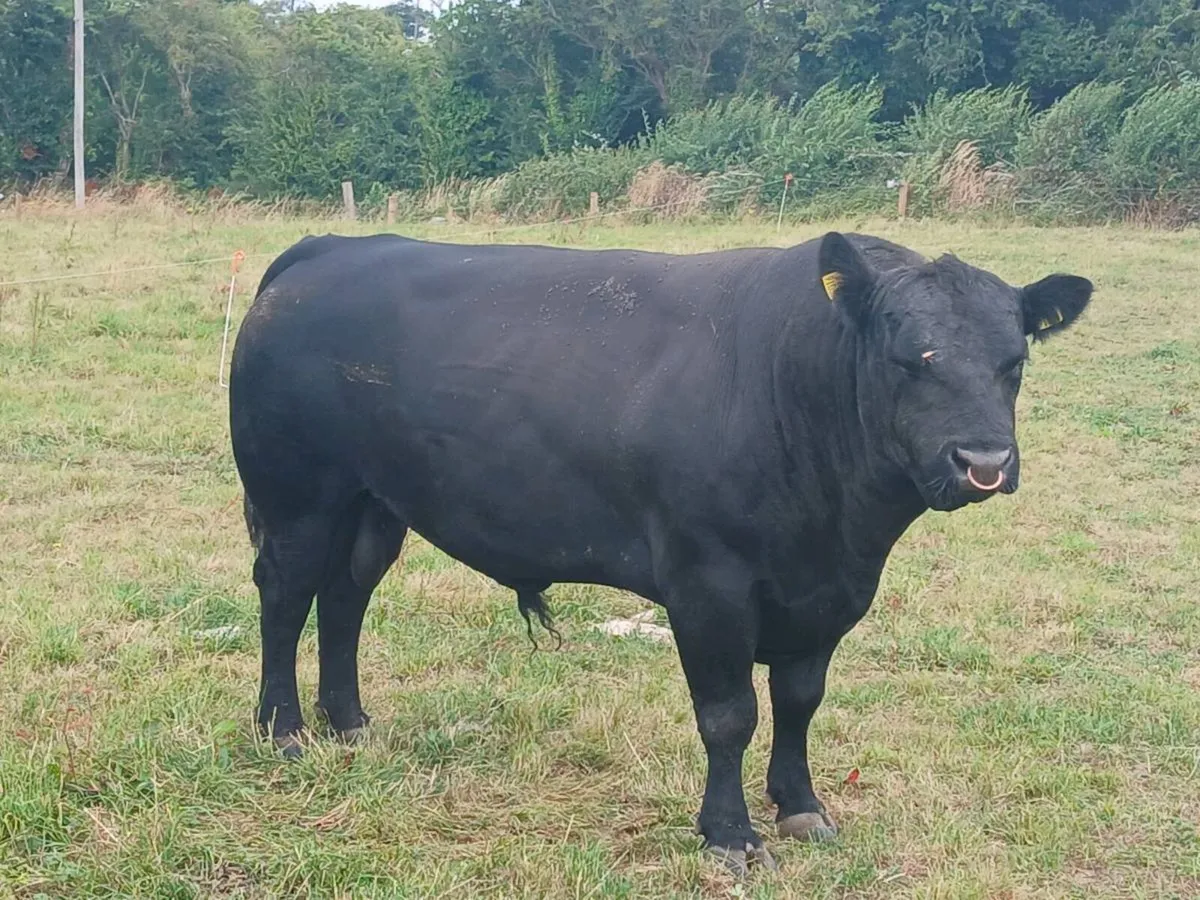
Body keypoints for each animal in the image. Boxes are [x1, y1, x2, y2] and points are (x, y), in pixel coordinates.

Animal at [228, 230, 1092, 875]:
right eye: (909, 357)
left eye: (1014, 361)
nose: (984, 461)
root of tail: (328, 249)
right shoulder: (707, 582)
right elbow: (730, 714)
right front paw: (729, 835)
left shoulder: (826, 593)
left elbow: (800, 701)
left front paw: (802, 806)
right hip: (298, 495)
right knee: (285, 597)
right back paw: (283, 729)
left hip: (373, 504)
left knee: (346, 598)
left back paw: (350, 722)